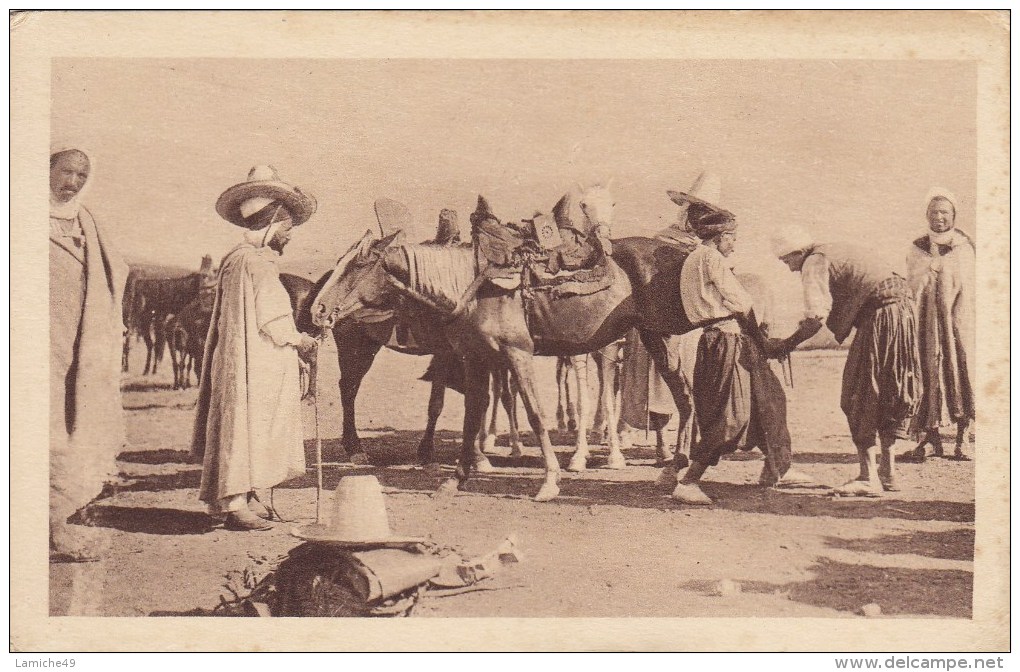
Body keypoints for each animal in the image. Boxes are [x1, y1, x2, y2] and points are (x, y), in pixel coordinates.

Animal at [314, 183, 705, 499]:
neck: (467, 286)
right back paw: (675, 469)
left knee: (685, 397)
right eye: (346, 263)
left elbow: (533, 412)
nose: (319, 308)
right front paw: (458, 477)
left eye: (358, 265)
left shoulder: (518, 354)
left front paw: (549, 480)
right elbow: (474, 413)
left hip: (660, 339)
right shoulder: (474, 357)